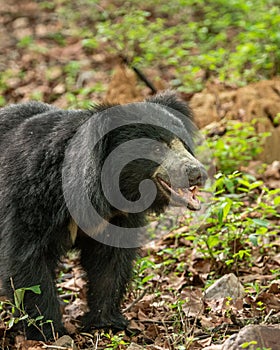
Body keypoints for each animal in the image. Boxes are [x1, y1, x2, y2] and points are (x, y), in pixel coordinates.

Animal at [0, 91, 206, 340]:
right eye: (157, 149)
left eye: (183, 144)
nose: (197, 174)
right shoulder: (29, 200)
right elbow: (26, 261)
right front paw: (50, 332)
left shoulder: (115, 219)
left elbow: (109, 262)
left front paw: (105, 323)